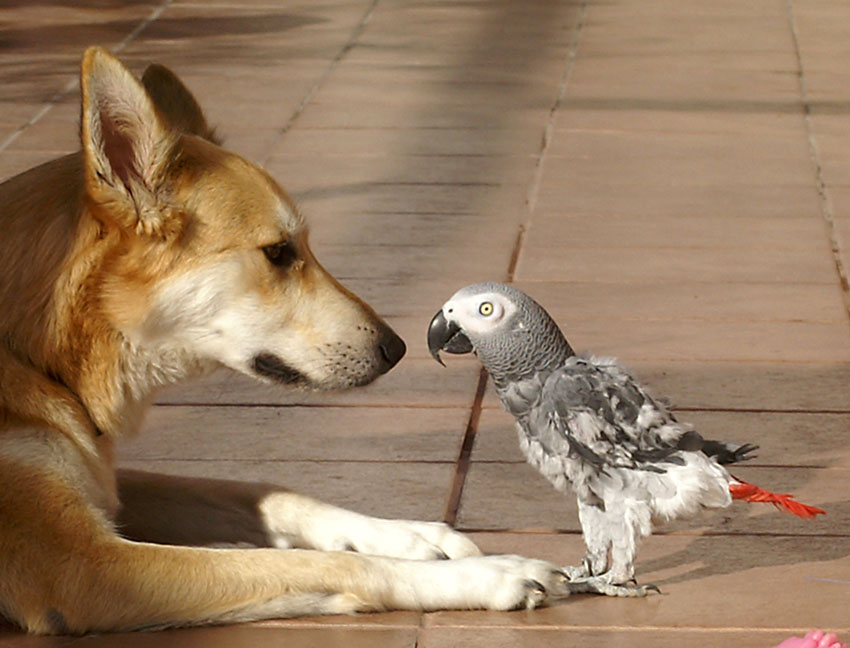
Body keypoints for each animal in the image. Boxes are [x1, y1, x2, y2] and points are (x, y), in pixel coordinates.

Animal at [0, 48, 568, 636]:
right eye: (278, 253)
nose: (399, 350)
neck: (36, 354)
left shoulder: (113, 492)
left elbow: (266, 493)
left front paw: (409, 534)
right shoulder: (78, 563)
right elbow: (330, 564)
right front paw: (490, 574)